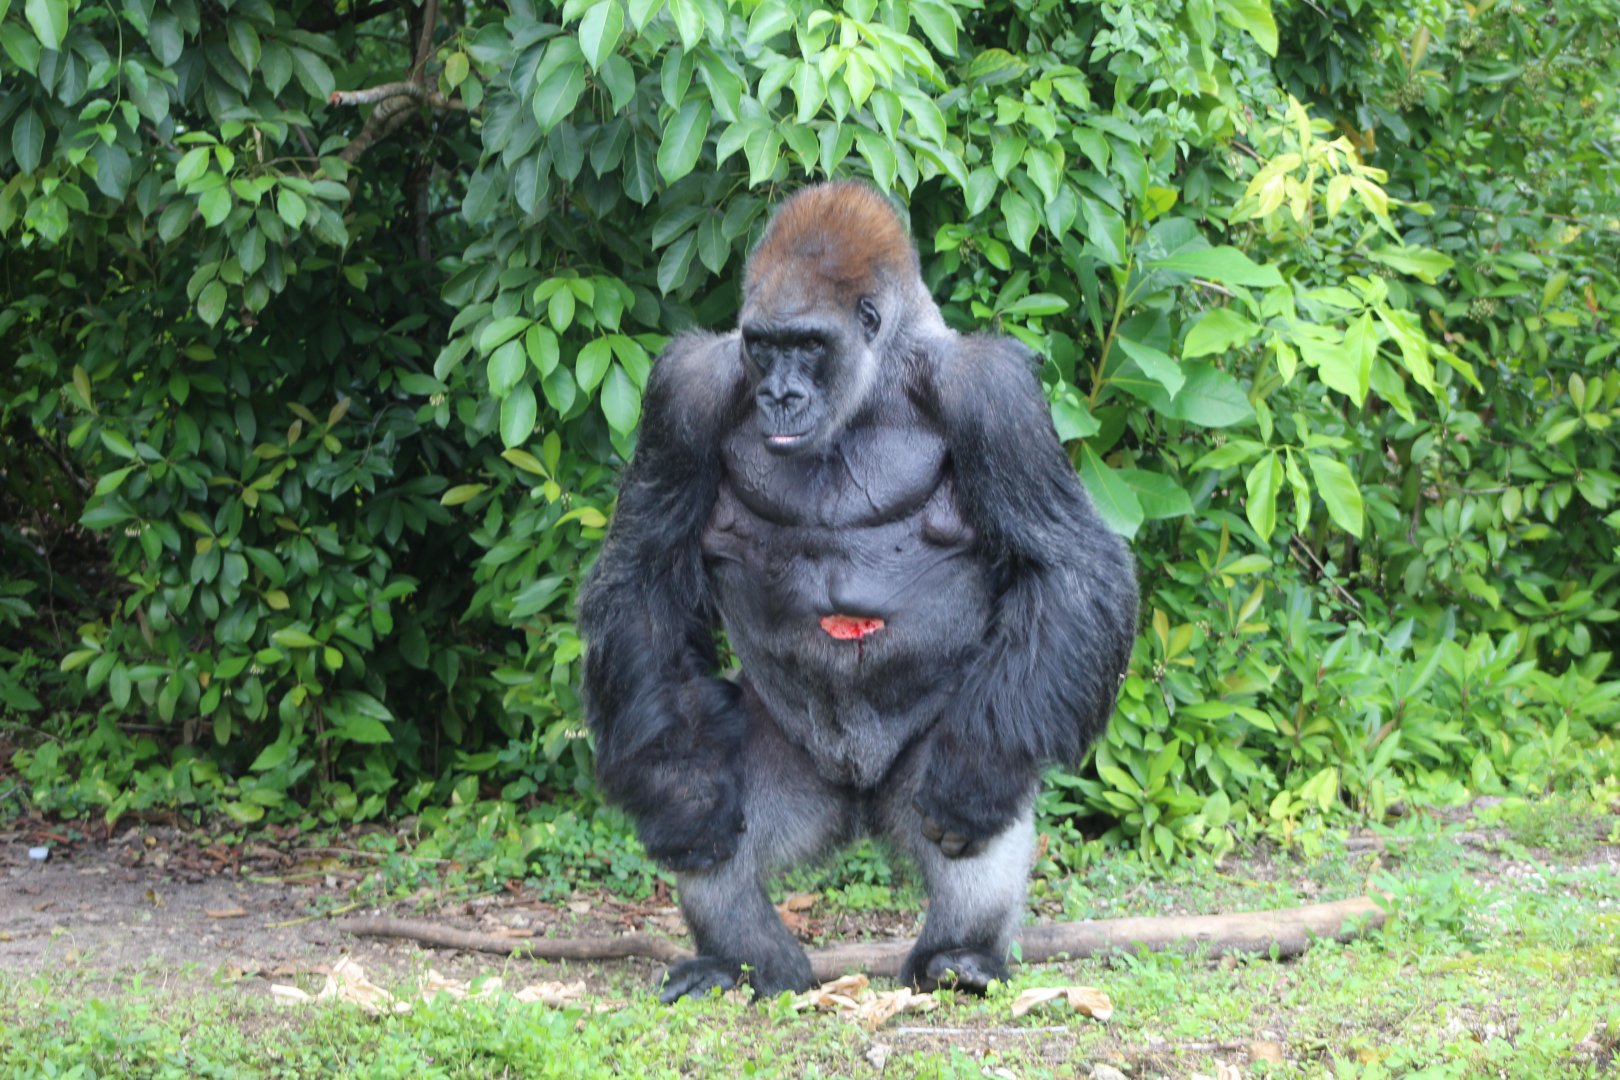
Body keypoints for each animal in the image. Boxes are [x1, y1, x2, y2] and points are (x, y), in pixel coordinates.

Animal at [578, 181, 1137, 1002]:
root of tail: (857, 806)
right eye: (763, 345)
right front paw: (681, 793)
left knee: (980, 806)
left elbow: (1071, 565)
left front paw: (976, 776)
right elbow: (642, 573)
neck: (873, 382)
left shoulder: (992, 392)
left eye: (810, 345)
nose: (779, 394)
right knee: (721, 827)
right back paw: (746, 962)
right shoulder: (688, 387)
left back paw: (960, 955)